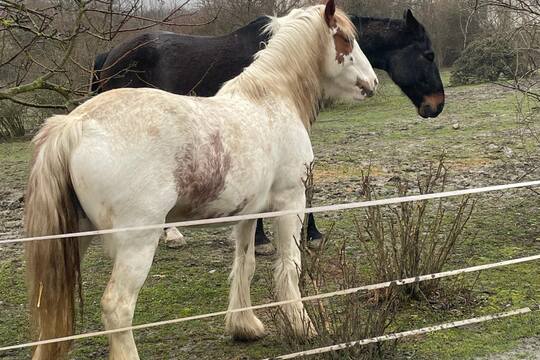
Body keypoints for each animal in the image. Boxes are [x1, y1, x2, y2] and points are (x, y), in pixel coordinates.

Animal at [25, 1, 378, 358]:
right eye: (346, 39)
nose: (373, 82)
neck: (271, 99)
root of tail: (75, 124)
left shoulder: (249, 212)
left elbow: (245, 264)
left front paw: (244, 326)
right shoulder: (290, 201)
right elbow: (289, 266)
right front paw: (303, 328)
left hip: (75, 236)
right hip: (136, 242)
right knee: (117, 307)